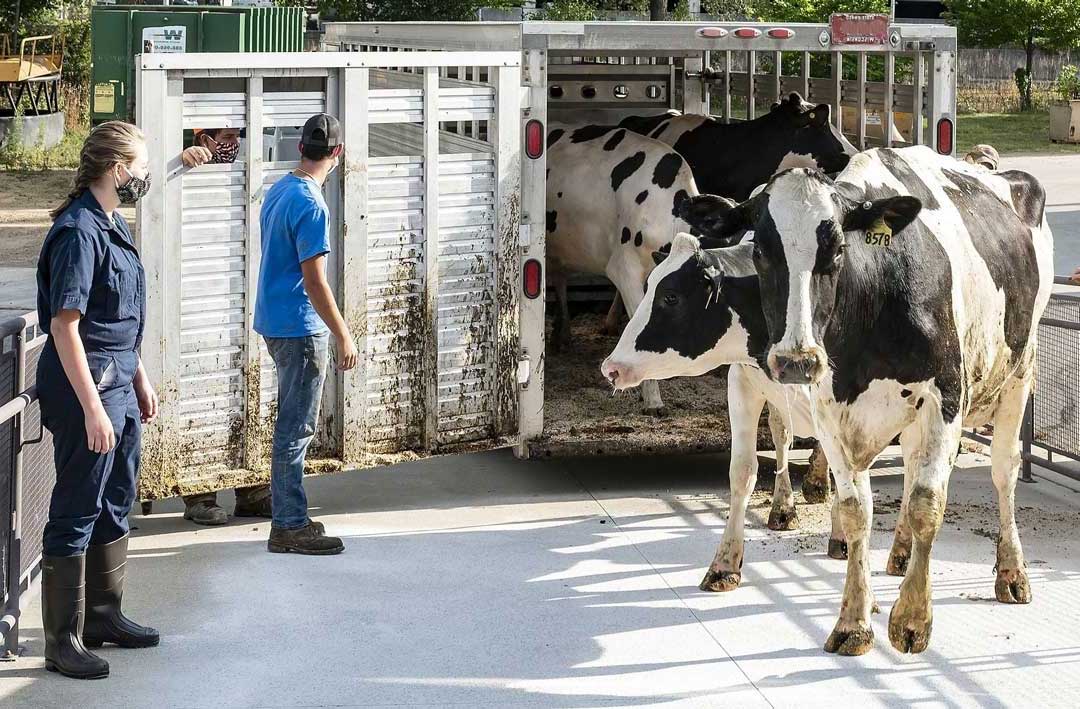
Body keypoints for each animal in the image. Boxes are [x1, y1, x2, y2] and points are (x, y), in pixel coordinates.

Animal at [674, 146, 1053, 656]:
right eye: (759, 251)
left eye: (837, 251)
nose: (796, 360)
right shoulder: (829, 409)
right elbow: (856, 510)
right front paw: (854, 620)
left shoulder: (947, 396)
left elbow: (927, 502)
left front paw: (912, 618)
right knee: (911, 465)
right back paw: (900, 553)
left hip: (1019, 372)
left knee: (1003, 470)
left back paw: (1012, 571)